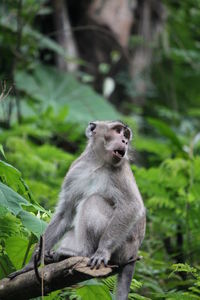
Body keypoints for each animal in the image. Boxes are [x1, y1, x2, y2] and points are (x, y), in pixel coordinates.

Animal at [8, 120, 145, 298]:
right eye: (117, 131)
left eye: (126, 135)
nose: (125, 142)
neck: (97, 163)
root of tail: (134, 251)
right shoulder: (75, 170)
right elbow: (65, 213)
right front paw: (31, 265)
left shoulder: (119, 172)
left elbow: (131, 206)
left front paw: (102, 251)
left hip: (123, 246)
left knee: (92, 201)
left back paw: (81, 253)